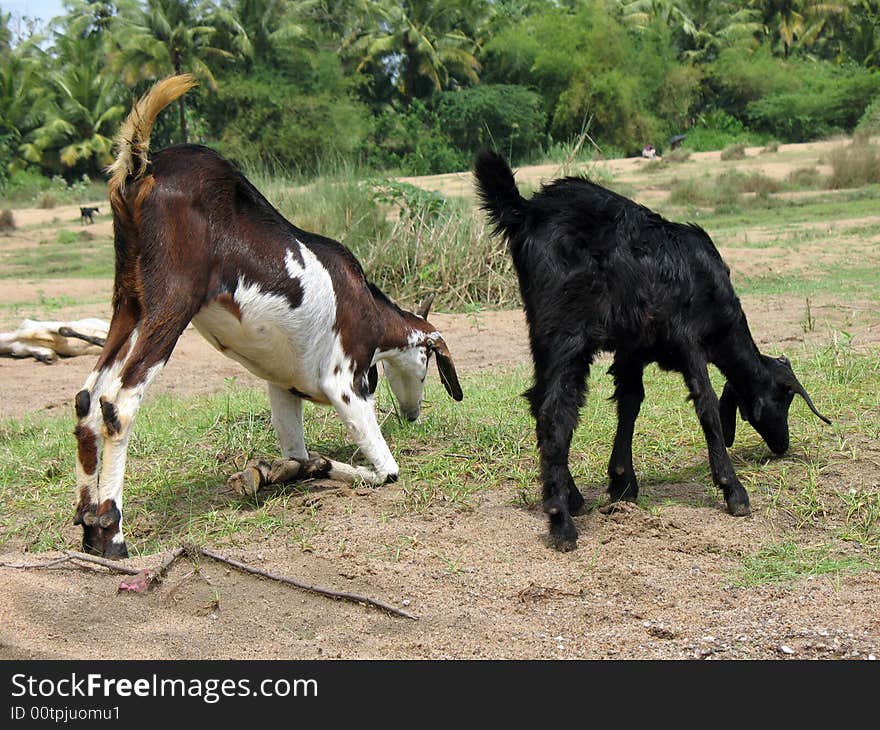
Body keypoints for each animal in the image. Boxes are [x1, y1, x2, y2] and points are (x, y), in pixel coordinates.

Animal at [72, 75, 464, 556]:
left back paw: (89, 526)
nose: (411, 415)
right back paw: (113, 533)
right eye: (426, 364)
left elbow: (300, 457)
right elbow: (386, 472)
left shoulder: (283, 389)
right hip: (170, 306)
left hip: (129, 303)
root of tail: (140, 166)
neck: (368, 307)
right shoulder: (345, 386)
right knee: (118, 404)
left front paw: (271, 472)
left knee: (88, 399)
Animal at [470, 151, 828, 548]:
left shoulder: (633, 349)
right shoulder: (687, 337)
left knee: (538, 402)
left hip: (542, 336)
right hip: (566, 331)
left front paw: (622, 482)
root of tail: (526, 211)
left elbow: (630, 401)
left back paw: (572, 496)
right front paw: (732, 488)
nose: (782, 445)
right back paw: (560, 521)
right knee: (555, 412)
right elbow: (705, 404)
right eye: (785, 398)